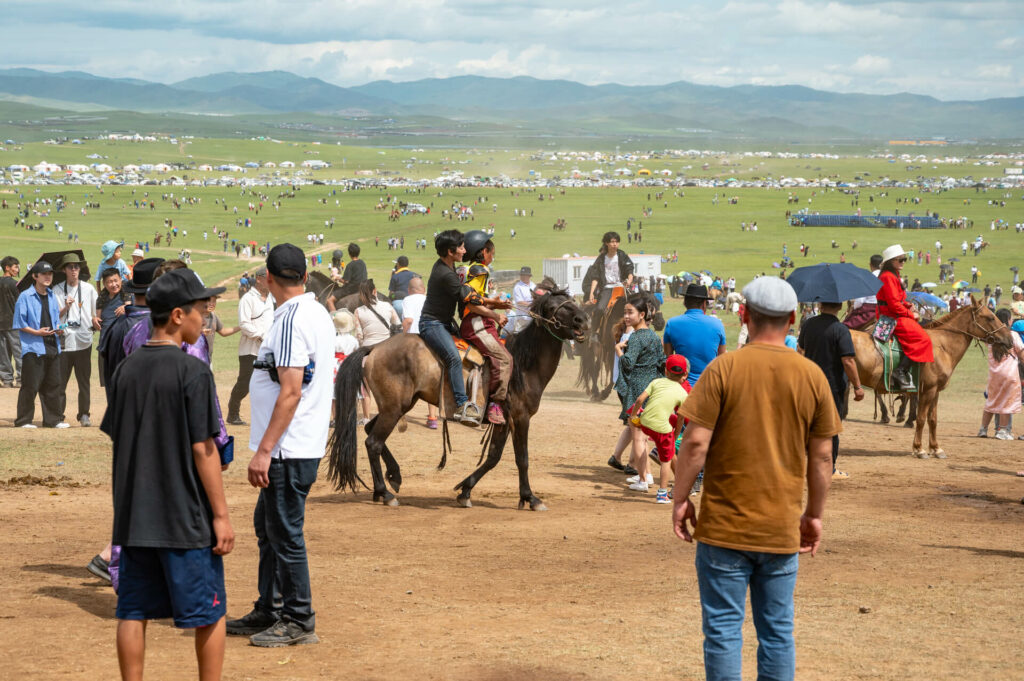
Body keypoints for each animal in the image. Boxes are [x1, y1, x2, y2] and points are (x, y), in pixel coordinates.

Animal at [323, 278, 589, 507]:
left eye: (571, 301)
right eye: (554, 307)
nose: (582, 319)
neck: (524, 365)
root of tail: (375, 348)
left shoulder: (504, 421)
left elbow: (493, 457)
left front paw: (465, 490)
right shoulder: (520, 417)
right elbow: (521, 459)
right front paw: (530, 498)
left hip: (399, 406)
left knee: (370, 431)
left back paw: (392, 479)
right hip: (393, 408)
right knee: (373, 442)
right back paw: (385, 492)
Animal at [847, 296, 1015, 456]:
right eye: (990, 317)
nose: (1010, 339)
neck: (942, 347)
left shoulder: (935, 392)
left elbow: (932, 420)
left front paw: (935, 448)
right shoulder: (928, 390)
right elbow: (921, 419)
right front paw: (918, 449)